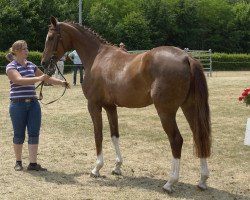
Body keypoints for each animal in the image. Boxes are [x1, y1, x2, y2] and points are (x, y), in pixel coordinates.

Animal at [41, 16, 211, 192]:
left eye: (51, 37)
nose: (44, 63)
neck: (97, 56)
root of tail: (187, 58)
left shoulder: (94, 105)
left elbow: (98, 134)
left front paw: (96, 168)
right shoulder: (110, 106)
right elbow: (114, 134)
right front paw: (117, 167)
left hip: (166, 112)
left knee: (176, 140)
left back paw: (170, 182)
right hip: (189, 107)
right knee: (199, 135)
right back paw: (202, 180)